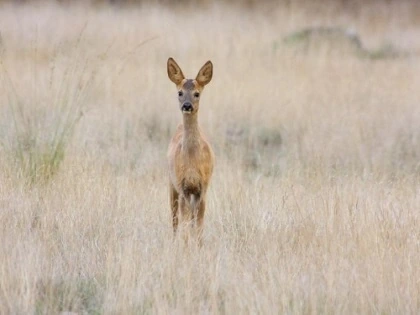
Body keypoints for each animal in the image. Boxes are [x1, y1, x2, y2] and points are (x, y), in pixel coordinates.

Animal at [167, 58, 215, 243]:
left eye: (197, 93)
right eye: (180, 92)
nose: (187, 106)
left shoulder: (203, 187)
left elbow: (199, 225)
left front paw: (199, 246)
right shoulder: (183, 186)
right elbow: (186, 224)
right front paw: (186, 245)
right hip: (171, 183)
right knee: (175, 219)